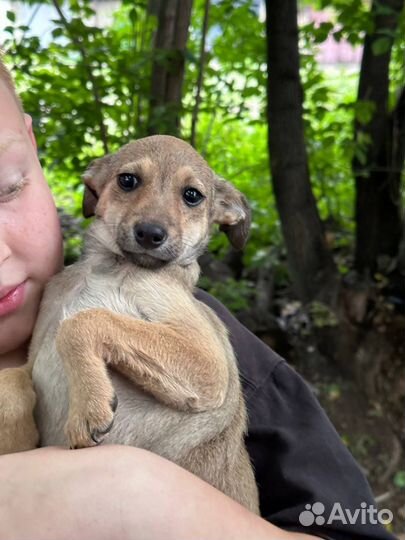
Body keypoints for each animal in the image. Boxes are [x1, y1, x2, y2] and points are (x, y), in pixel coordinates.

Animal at [30, 136, 258, 516]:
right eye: (128, 180)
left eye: (192, 195)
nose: (151, 234)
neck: (110, 268)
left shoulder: (209, 366)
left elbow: (83, 321)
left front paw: (89, 405)